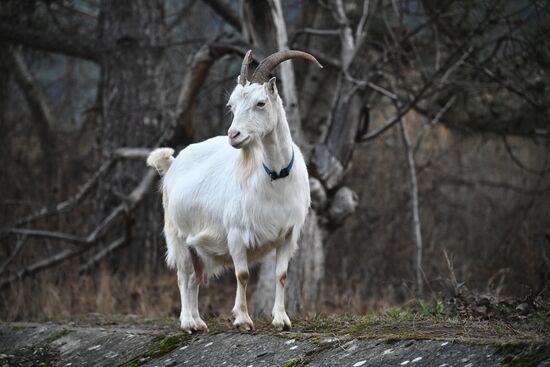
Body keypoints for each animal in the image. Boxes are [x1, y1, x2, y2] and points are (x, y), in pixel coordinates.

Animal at [147, 49, 324, 334]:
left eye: (261, 103)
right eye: (232, 106)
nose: (234, 135)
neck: (274, 176)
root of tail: (172, 164)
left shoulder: (288, 234)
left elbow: (281, 275)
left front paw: (281, 319)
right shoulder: (237, 234)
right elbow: (242, 275)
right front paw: (242, 319)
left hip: (197, 247)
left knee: (195, 278)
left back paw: (199, 322)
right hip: (177, 235)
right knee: (184, 275)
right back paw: (188, 323)